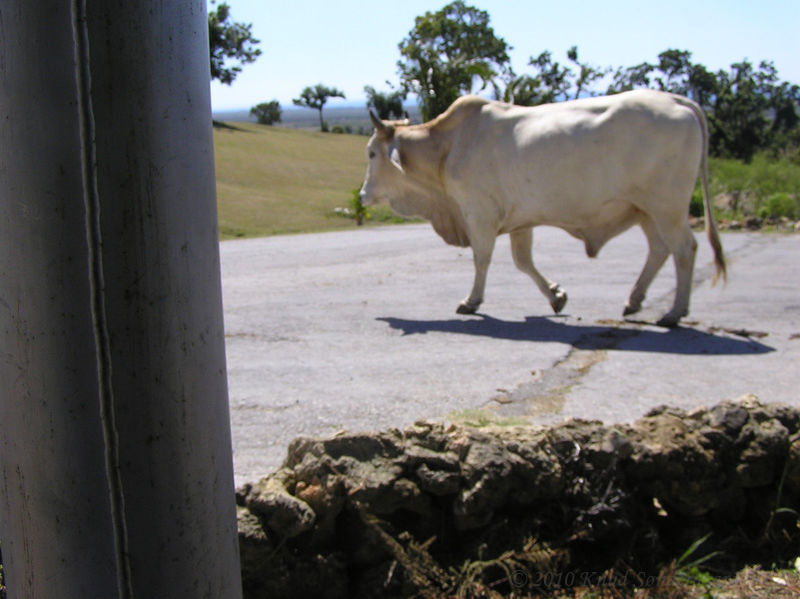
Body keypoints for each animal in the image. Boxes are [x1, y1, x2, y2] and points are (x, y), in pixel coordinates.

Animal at [360, 90, 724, 328]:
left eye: (371, 153)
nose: (362, 195)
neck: (449, 148)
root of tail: (677, 99)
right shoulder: (520, 221)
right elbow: (524, 262)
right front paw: (555, 295)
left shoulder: (479, 215)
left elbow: (482, 259)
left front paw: (472, 301)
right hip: (645, 210)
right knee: (660, 250)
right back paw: (634, 301)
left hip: (667, 208)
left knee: (684, 249)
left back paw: (674, 313)